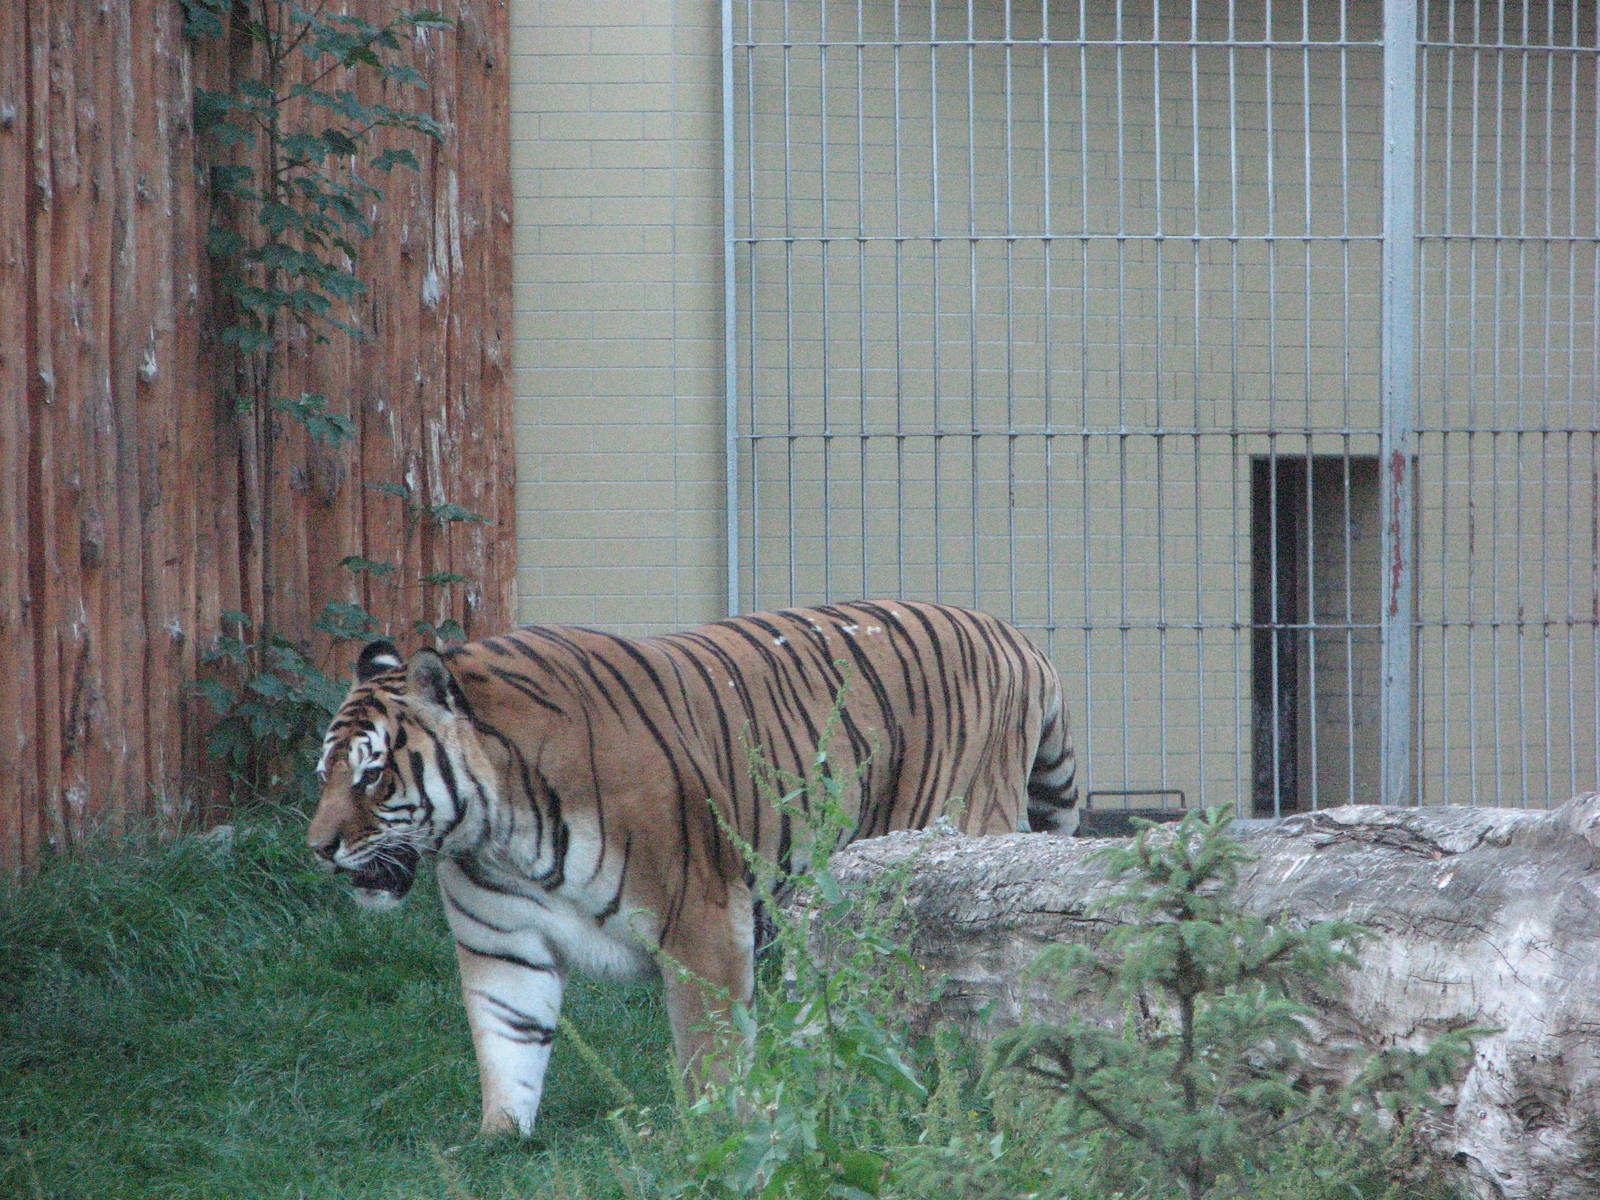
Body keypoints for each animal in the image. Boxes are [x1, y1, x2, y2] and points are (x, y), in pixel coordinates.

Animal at [307, 600, 1078, 1135]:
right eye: (324, 773)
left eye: (372, 775)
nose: (318, 848)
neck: (499, 829)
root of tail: (1015, 636)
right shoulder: (502, 943)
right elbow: (508, 1042)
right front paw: (498, 1138)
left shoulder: (699, 922)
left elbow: (709, 1048)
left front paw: (720, 1134)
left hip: (941, 858)